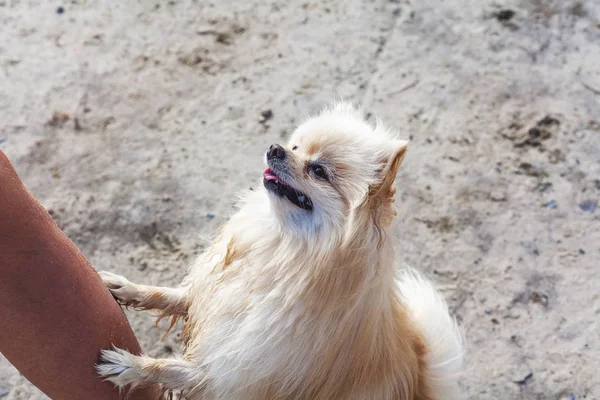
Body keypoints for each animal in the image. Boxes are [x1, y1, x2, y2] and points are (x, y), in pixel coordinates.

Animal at [97, 104, 464, 400]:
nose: (275, 148)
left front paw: (129, 366)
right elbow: (170, 295)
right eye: (295, 146)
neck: (285, 245)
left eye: (318, 171)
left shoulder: (231, 375)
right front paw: (124, 288)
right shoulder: (213, 299)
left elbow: (172, 368)